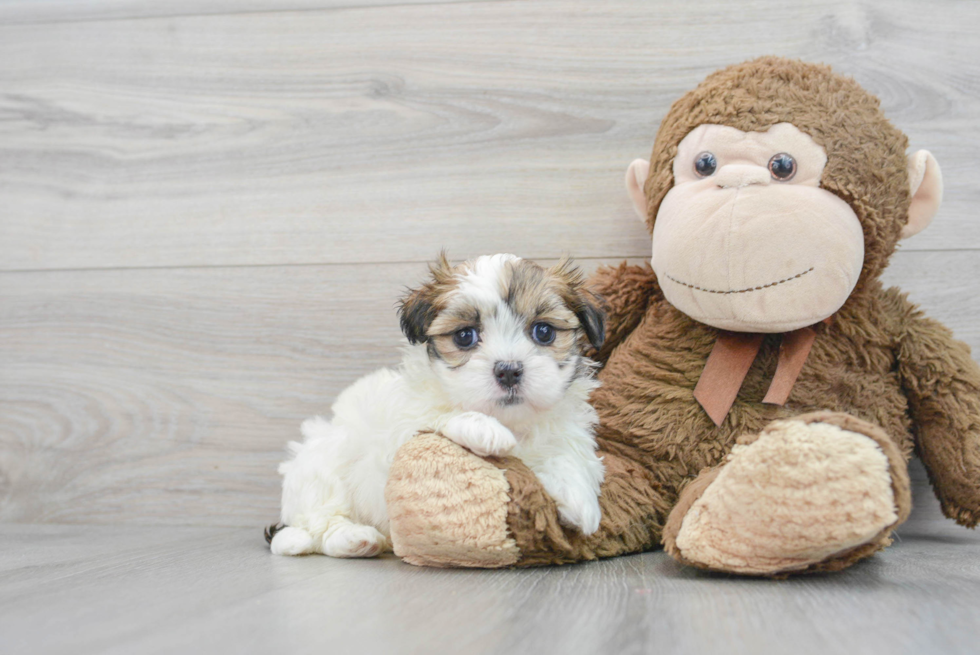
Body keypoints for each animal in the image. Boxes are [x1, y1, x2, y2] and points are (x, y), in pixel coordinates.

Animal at [268, 254, 604, 556]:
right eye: (465, 336)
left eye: (544, 331)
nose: (508, 370)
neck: (509, 420)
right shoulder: (399, 435)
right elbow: (436, 417)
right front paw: (482, 428)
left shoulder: (564, 430)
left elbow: (567, 453)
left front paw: (578, 499)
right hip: (321, 463)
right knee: (319, 524)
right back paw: (353, 538)